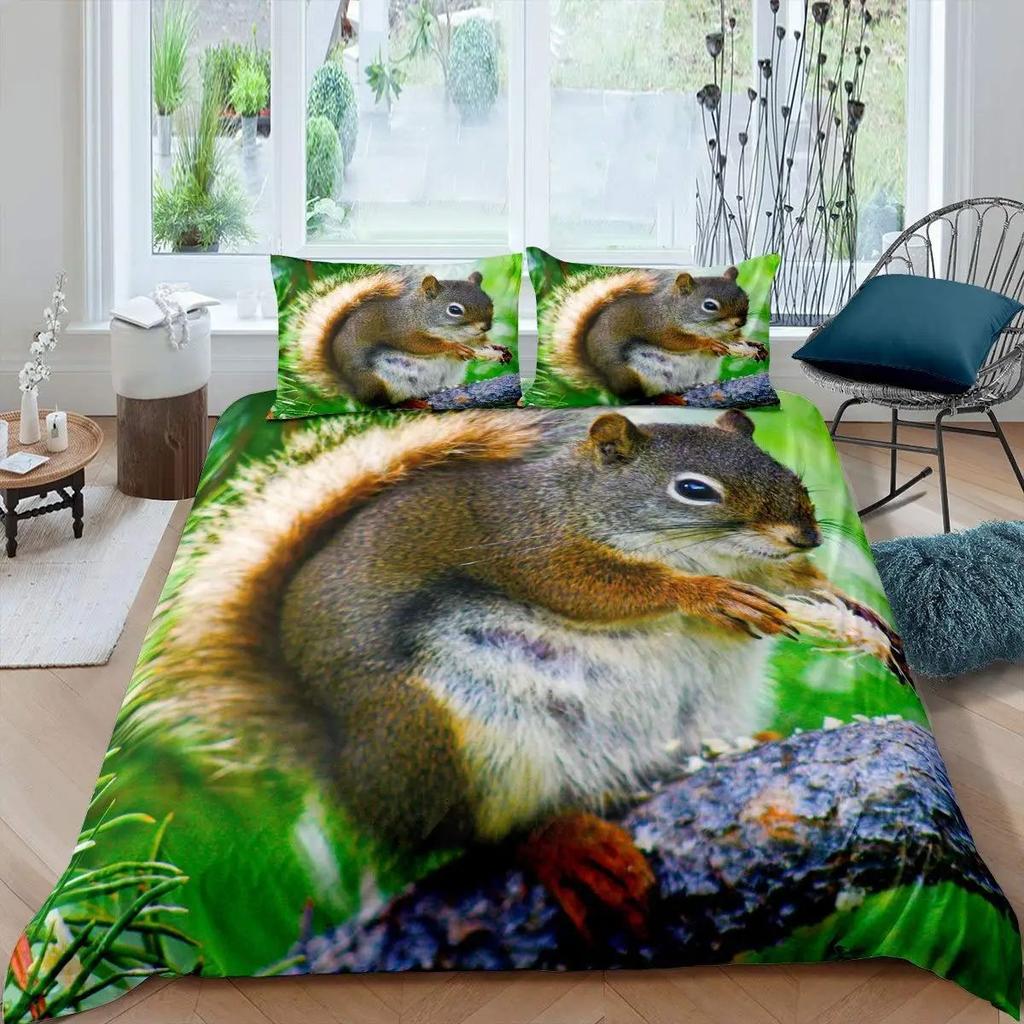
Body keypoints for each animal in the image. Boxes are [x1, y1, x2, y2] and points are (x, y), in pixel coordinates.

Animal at [146, 408, 908, 938]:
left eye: (773, 460)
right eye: (693, 490)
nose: (805, 535)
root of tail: (345, 766)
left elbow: (799, 589)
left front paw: (854, 609)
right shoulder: (531, 547)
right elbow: (601, 591)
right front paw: (705, 596)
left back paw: (746, 746)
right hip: (437, 736)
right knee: (475, 837)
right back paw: (562, 844)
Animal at [292, 270, 512, 406]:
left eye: (490, 302)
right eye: (454, 310)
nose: (486, 326)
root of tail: (354, 391)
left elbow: (480, 343)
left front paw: (498, 348)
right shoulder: (400, 329)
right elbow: (420, 344)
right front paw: (453, 347)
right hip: (374, 381)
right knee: (382, 404)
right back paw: (411, 403)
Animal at [544, 266, 766, 401]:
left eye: (746, 298)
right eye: (709, 306)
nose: (740, 322)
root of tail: (610, 385)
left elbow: (735, 339)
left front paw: (754, 344)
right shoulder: (656, 325)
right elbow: (676, 341)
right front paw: (707, 343)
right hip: (631, 374)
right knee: (638, 398)